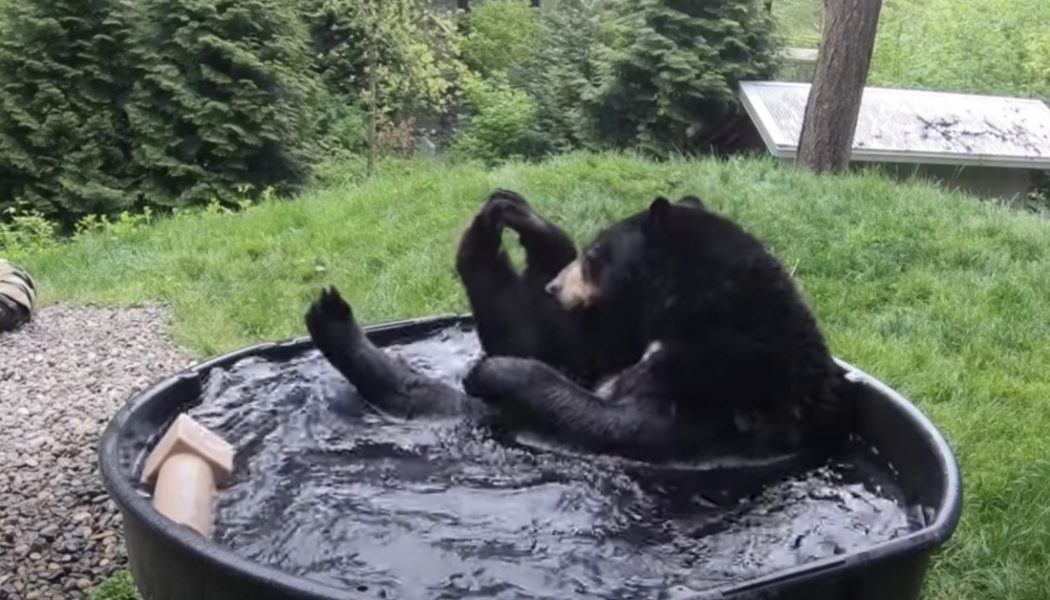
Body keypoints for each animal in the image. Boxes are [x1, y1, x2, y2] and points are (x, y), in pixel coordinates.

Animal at [462, 195, 853, 463]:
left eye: (593, 256)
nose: (554, 288)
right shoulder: (621, 332)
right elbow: (552, 344)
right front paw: (511, 218)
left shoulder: (714, 374)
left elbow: (619, 422)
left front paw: (489, 372)